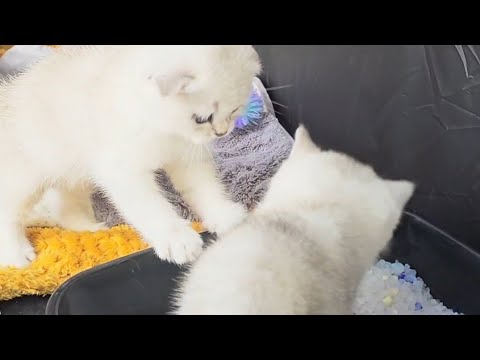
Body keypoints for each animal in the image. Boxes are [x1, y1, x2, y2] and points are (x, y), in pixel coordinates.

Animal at [0, 45, 260, 268]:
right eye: (202, 118)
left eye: (235, 110)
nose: (222, 132)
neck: (165, 131)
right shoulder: (123, 170)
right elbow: (150, 206)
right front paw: (177, 239)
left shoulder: (187, 155)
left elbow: (205, 188)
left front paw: (225, 216)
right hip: (25, 176)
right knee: (8, 212)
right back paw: (16, 255)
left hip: (73, 171)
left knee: (64, 205)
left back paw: (90, 229)